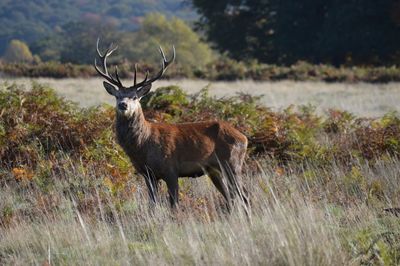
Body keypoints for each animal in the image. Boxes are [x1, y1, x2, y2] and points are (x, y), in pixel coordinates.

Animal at [95, 39, 248, 210]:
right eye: (117, 96)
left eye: (135, 97)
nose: (123, 104)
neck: (143, 146)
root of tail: (244, 138)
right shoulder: (148, 174)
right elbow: (152, 204)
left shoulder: (171, 169)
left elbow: (174, 204)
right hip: (214, 170)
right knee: (230, 196)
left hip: (232, 163)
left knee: (244, 195)